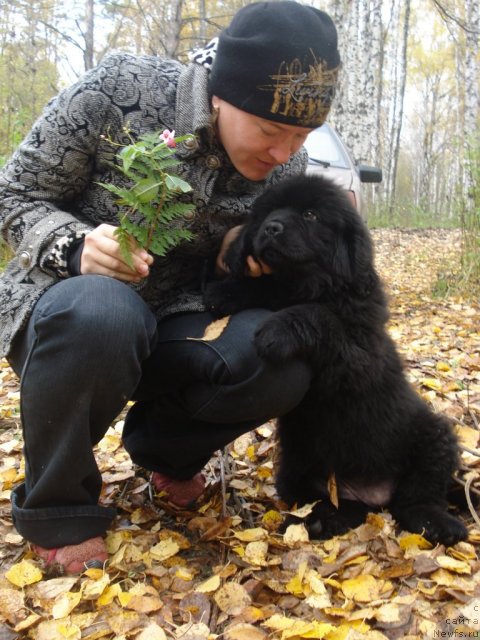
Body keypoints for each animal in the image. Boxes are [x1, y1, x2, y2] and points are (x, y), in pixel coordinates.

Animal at [204, 174, 466, 544]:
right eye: (268, 212)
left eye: (311, 215)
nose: (271, 228)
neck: (308, 285)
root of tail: (374, 493)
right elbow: (262, 289)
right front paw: (225, 291)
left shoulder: (359, 360)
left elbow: (319, 315)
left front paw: (276, 330)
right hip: (296, 465)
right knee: (340, 505)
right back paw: (321, 520)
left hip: (434, 435)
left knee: (415, 498)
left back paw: (439, 523)